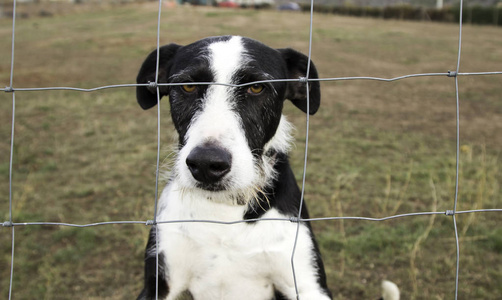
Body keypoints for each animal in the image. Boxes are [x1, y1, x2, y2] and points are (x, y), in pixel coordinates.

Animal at [134, 35, 400, 300]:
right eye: (188, 86)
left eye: (256, 88)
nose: (206, 164)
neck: (226, 211)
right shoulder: (158, 283)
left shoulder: (307, 284)